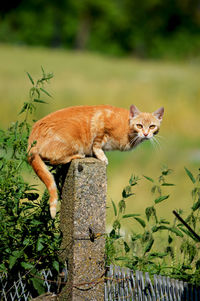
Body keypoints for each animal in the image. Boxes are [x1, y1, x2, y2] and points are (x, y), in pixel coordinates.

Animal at [27, 104, 163, 217]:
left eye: (152, 126)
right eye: (139, 125)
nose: (145, 134)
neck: (127, 127)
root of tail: (31, 141)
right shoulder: (101, 127)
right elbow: (97, 145)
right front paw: (102, 157)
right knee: (54, 160)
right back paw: (78, 155)